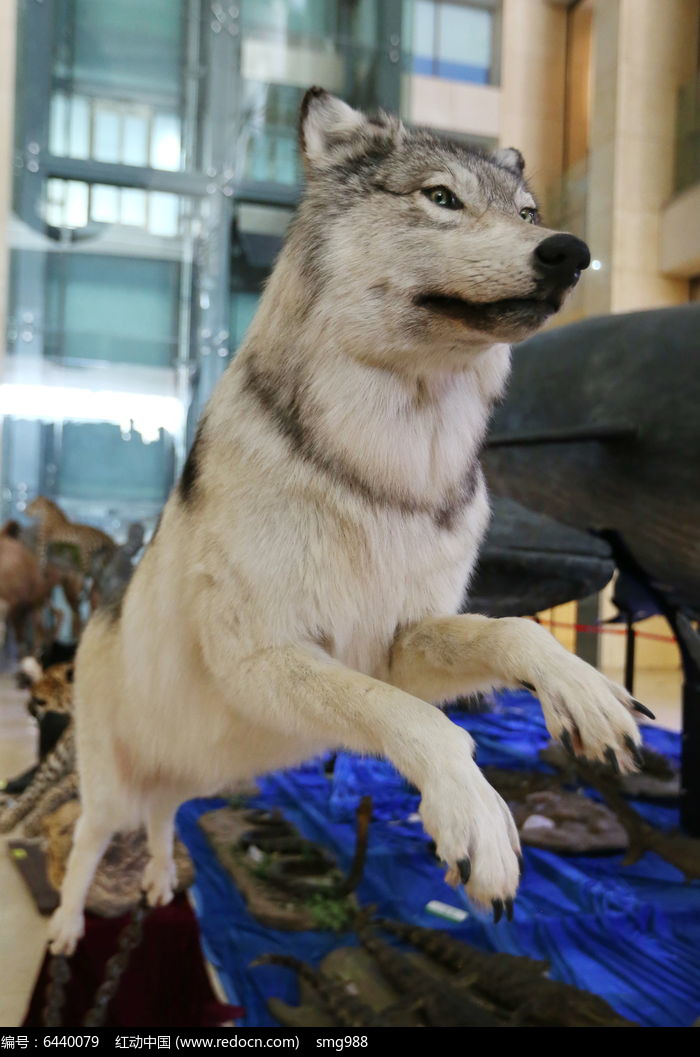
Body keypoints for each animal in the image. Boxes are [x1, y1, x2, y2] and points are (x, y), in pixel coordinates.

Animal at [46, 86, 642, 955]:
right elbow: (421, 722)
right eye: (442, 198)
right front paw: (477, 817)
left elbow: (512, 633)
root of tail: (94, 614)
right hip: (109, 789)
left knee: (166, 816)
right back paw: (63, 924)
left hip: (196, 776)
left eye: (529, 212)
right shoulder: (264, 658)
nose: (569, 251)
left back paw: (159, 880)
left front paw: (587, 693)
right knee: (92, 842)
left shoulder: (396, 638)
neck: (384, 477)